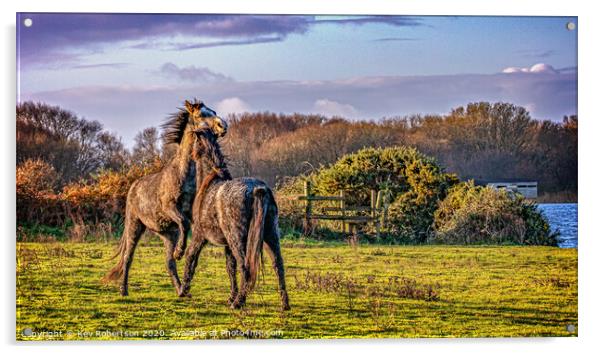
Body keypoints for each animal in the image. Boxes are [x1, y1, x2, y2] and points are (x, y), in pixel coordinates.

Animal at [102, 99, 226, 296]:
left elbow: (190, 227)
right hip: (135, 226)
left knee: (169, 263)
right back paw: (124, 290)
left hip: (168, 235)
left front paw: (182, 254)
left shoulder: (189, 214)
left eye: (213, 111)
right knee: (128, 257)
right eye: (201, 114)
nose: (223, 126)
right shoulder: (170, 208)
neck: (183, 174)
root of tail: (133, 187)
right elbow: (184, 223)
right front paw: (180, 251)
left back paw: (181, 291)